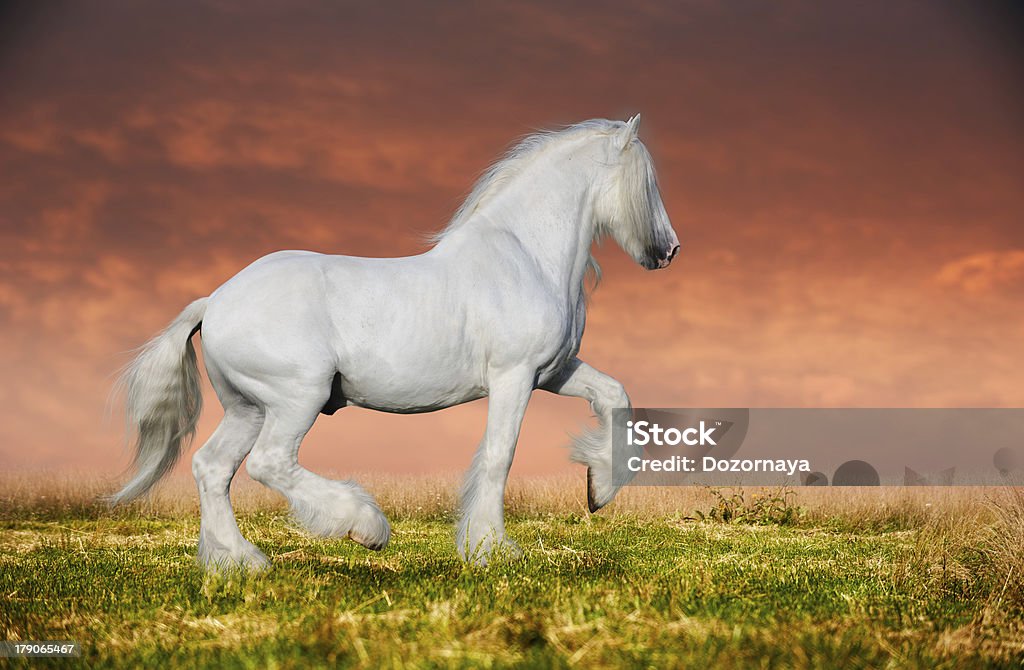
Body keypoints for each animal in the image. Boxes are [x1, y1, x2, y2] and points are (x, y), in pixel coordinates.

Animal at [112, 114, 679, 565]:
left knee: (212, 469)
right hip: (296, 398)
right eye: (647, 182)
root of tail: (215, 301)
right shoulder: (513, 376)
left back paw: (241, 562)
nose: (668, 250)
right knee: (269, 464)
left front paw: (598, 488)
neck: (526, 255)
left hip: (247, 407)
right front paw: (491, 549)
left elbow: (614, 395)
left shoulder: (553, 372)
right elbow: (500, 456)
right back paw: (365, 527)